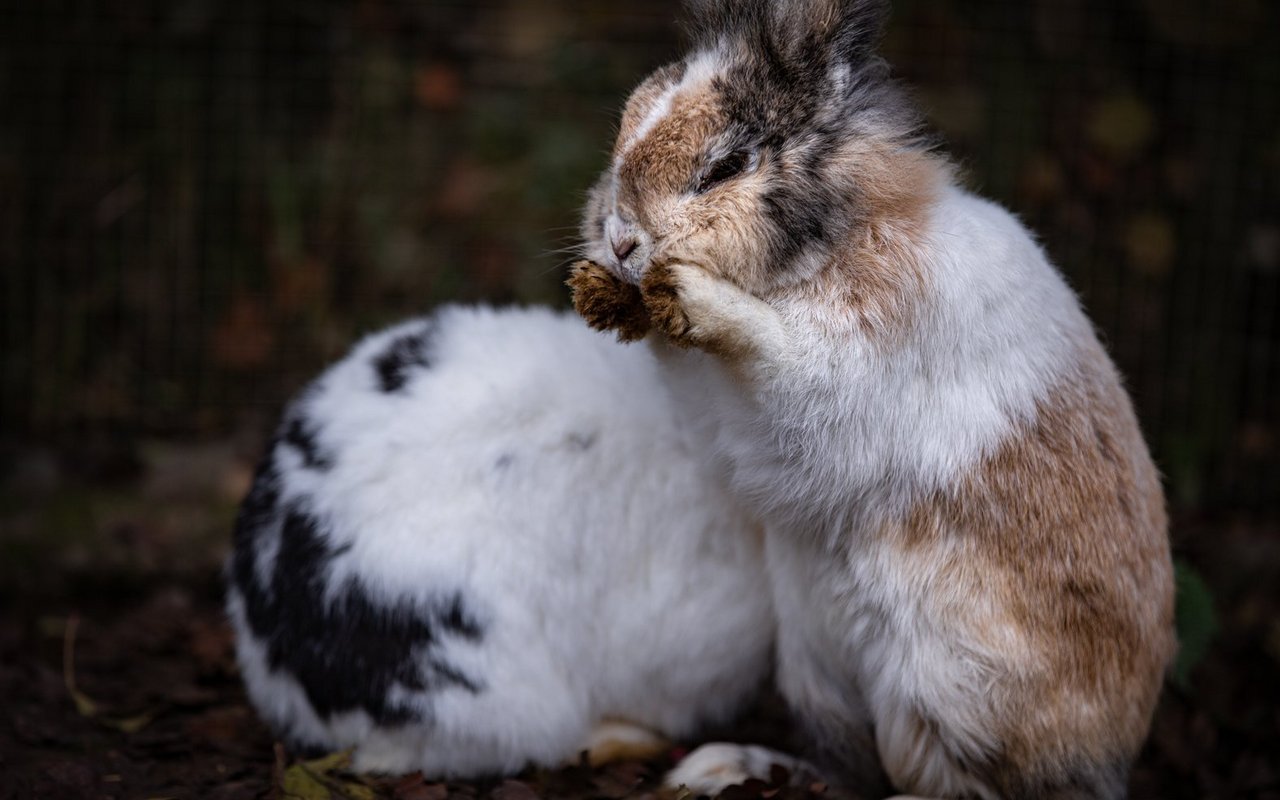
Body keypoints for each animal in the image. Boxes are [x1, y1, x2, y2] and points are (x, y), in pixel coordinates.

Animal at [570, 3, 1177, 793]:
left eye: (727, 166)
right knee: (850, 767)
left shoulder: (832, 371)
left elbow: (773, 349)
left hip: (948, 692)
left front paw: (694, 298)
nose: (619, 240)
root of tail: (1110, 755)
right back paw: (719, 767)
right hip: (816, 664)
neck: (831, 246)